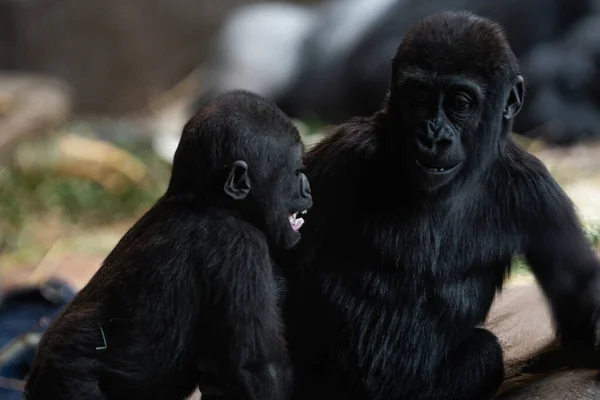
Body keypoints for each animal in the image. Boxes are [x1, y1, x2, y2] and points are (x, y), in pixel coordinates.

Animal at [23, 90, 314, 400]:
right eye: (296, 172)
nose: (308, 188)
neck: (205, 199)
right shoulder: (239, 245)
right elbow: (257, 370)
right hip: (69, 383)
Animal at [282, 10, 600, 400]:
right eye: (420, 96)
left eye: (460, 103)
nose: (432, 136)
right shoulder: (342, 155)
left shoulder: (539, 196)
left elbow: (578, 304)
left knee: (484, 354)